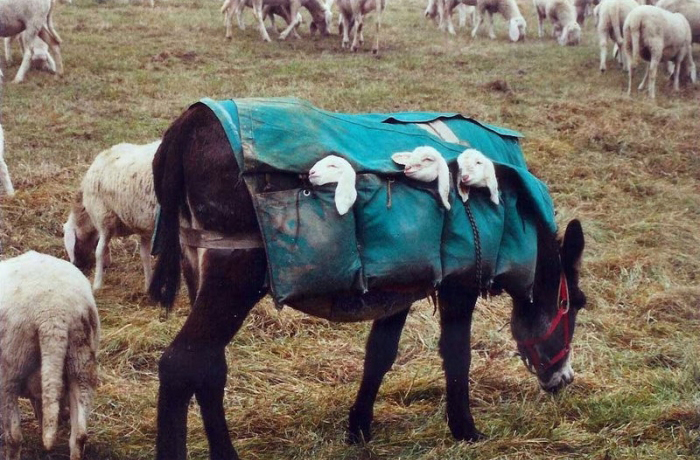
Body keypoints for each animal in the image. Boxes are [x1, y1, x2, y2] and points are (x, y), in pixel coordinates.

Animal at [63, 140, 160, 291]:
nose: (80, 267)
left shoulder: (104, 218)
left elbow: (99, 251)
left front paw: (97, 284)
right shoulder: (144, 224)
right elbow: (145, 254)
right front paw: (149, 285)